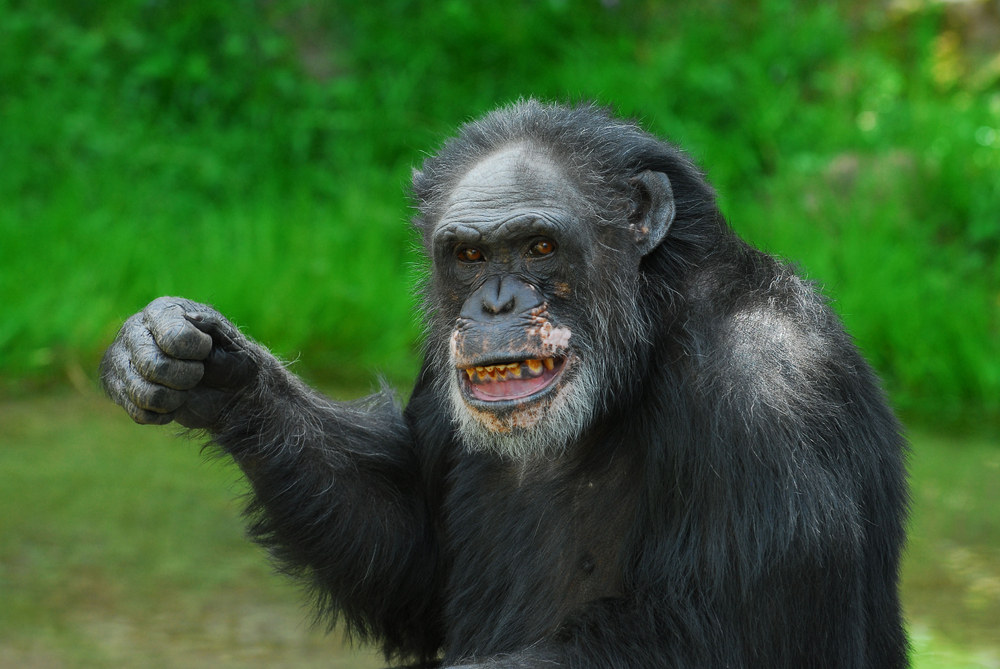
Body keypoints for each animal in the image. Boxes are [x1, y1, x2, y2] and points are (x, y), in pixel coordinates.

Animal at [99, 100, 908, 668]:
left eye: (540, 246)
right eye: (470, 254)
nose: (495, 304)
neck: (644, 340)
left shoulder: (770, 386)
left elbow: (720, 637)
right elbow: (411, 560)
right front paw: (214, 368)